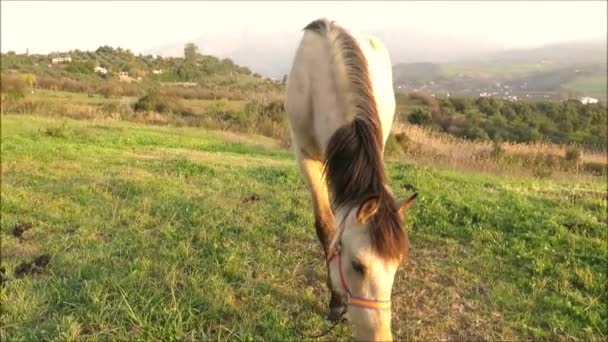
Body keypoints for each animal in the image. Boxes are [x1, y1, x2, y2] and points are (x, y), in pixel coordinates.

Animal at [284, 19, 418, 342]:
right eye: (357, 265)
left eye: (396, 266)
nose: (380, 337)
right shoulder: (305, 156)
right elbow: (326, 226)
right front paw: (335, 303)